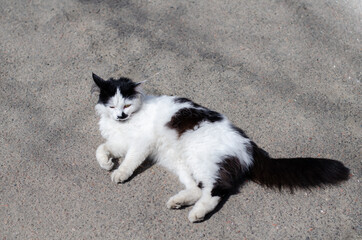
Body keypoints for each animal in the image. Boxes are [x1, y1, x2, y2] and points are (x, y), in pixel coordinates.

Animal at [92, 73, 350, 223]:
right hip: (183, 163)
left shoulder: (140, 144)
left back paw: (196, 214)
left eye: (126, 105)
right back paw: (178, 202)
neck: (129, 120)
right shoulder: (120, 141)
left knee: (216, 190)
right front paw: (106, 163)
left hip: (203, 161)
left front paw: (120, 173)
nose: (121, 115)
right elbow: (101, 148)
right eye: (113, 105)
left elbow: (130, 161)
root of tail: (248, 143)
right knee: (197, 189)